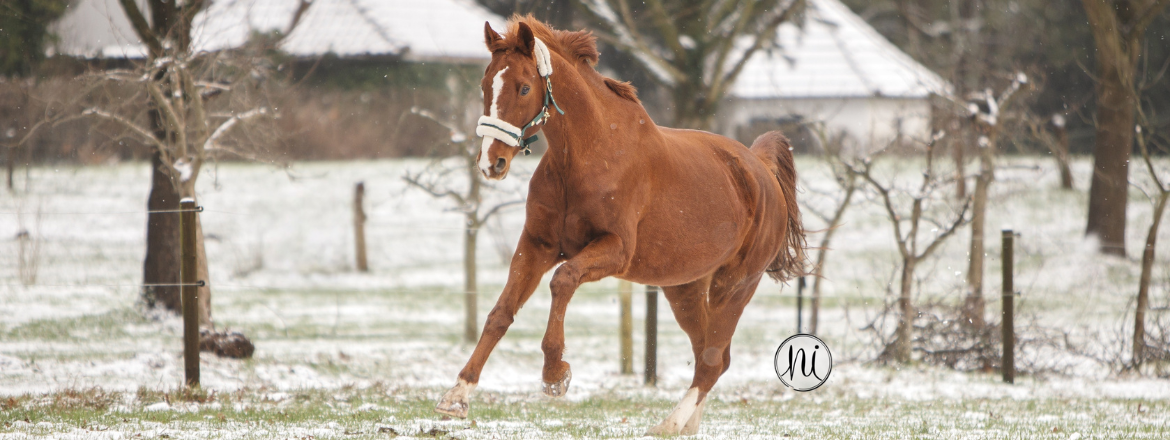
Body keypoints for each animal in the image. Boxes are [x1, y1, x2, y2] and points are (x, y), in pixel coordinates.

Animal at [435, 15, 809, 435]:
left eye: (524, 87)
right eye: (486, 85)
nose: (491, 163)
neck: (586, 154)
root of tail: (760, 168)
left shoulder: (613, 250)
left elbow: (563, 280)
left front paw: (554, 374)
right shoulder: (537, 245)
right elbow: (501, 313)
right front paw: (457, 395)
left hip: (736, 284)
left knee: (713, 360)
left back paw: (668, 424)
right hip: (684, 288)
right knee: (710, 354)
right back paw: (687, 425)